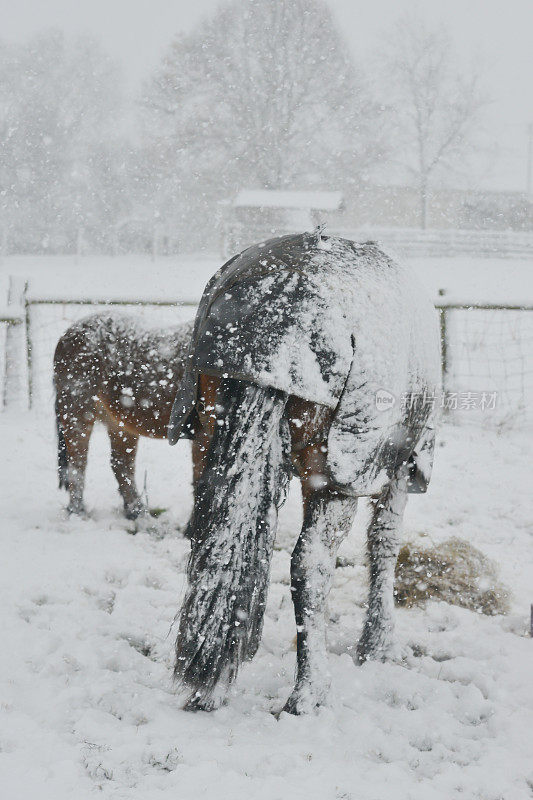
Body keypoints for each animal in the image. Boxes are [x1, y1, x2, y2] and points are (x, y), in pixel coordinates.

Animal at [53, 312, 193, 520]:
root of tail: (68, 334)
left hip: (120, 423)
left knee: (120, 464)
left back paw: (137, 512)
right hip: (77, 412)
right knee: (78, 463)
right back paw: (78, 512)